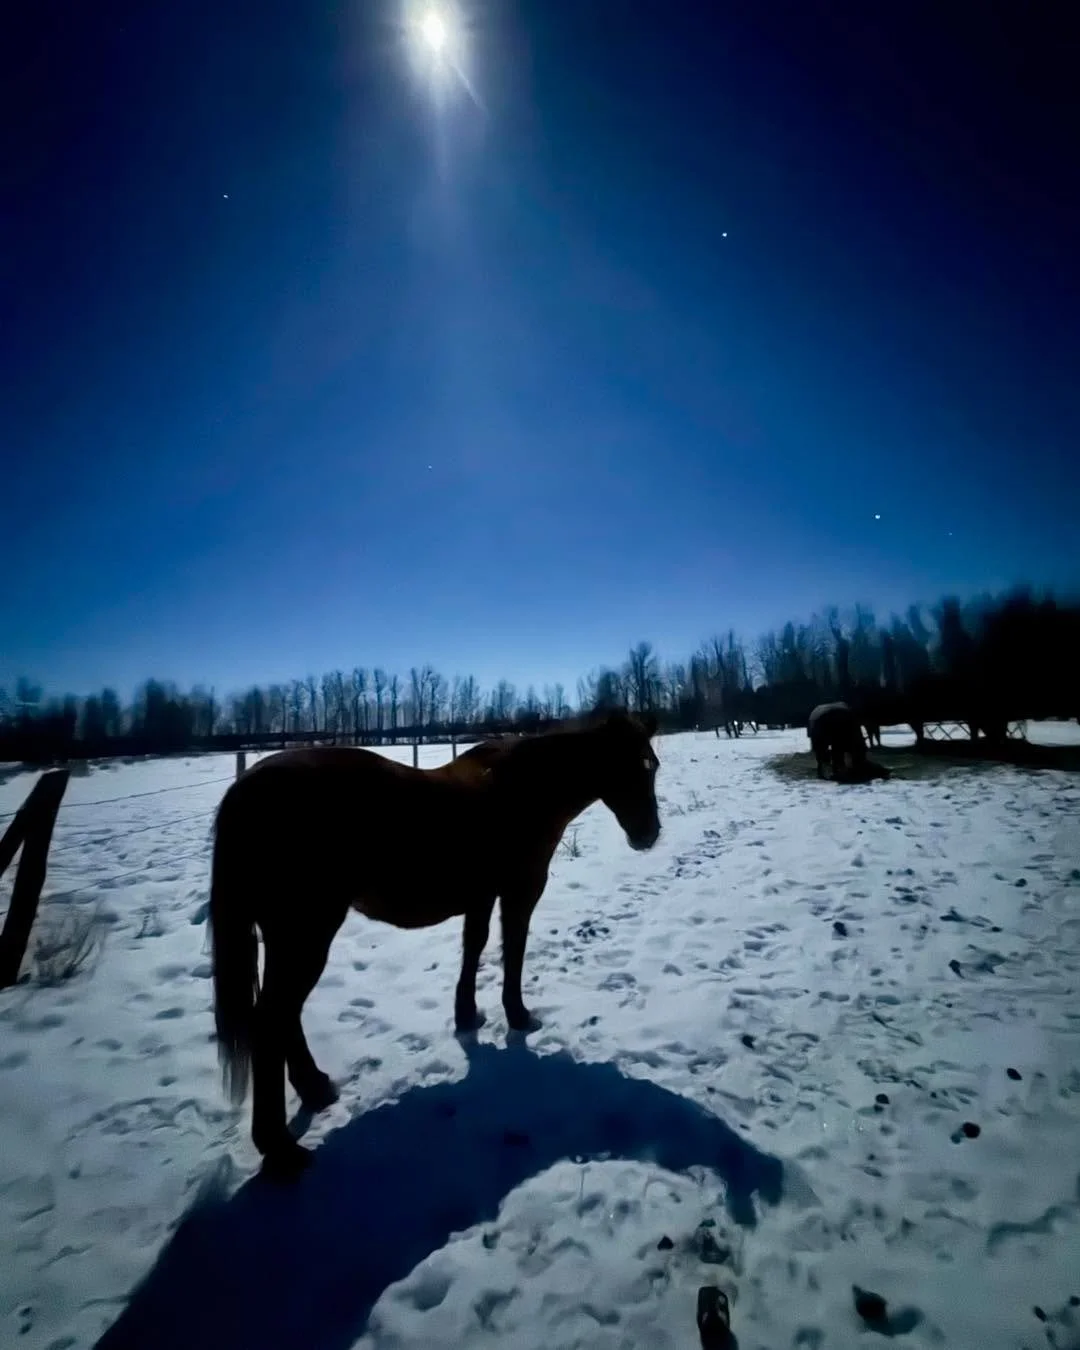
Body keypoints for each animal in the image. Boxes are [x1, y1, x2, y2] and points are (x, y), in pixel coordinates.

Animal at [208, 709, 662, 1179]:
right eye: (627, 766)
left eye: (652, 766)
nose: (648, 834)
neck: (524, 789)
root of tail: (245, 790)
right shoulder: (519, 892)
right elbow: (513, 950)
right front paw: (518, 1015)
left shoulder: (482, 897)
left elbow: (474, 947)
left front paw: (467, 1014)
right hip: (306, 931)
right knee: (272, 1019)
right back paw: (280, 1148)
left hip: (287, 935)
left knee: (283, 1015)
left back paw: (315, 1088)